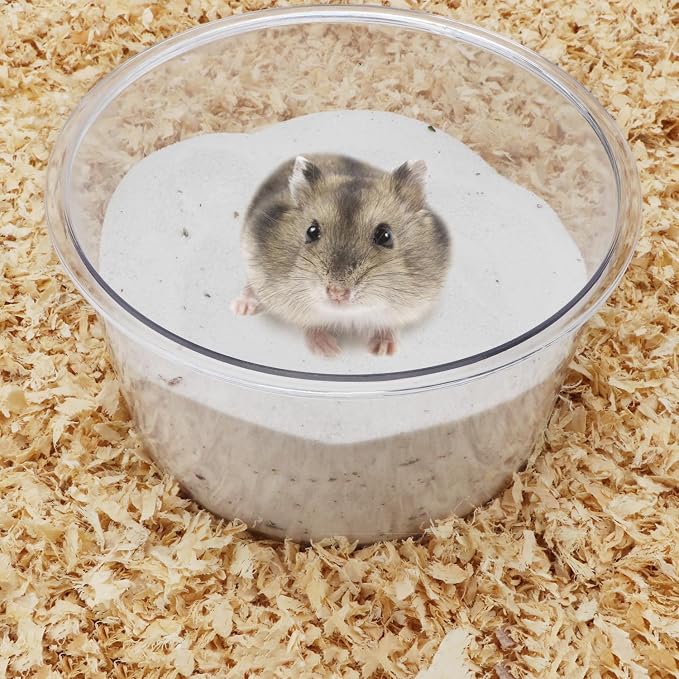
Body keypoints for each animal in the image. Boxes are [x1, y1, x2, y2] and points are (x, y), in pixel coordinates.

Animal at [231, 153, 451, 357]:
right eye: (311, 231)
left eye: (385, 236)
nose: (337, 293)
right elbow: (311, 325)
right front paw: (330, 351)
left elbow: (388, 325)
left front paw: (383, 350)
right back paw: (241, 307)